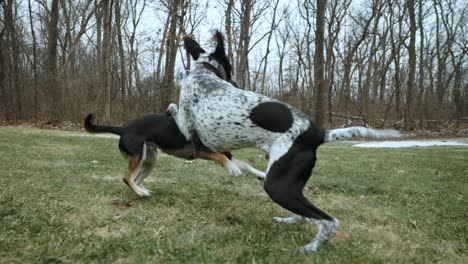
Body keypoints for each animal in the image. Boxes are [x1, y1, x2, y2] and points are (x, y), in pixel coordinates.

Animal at [168, 32, 398, 253]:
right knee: (307, 213)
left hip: (277, 186)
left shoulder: (186, 127)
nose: (236, 83)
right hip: (289, 182)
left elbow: (174, 109)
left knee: (328, 221)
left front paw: (171, 105)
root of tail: (318, 134)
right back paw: (289, 221)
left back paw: (310, 248)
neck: (204, 75)